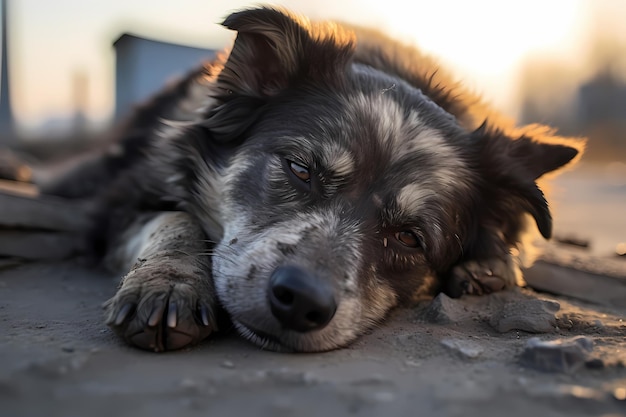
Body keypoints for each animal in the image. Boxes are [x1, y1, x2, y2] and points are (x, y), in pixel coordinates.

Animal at [37, 6, 580, 352]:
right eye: (300, 169)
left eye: (409, 237)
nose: (300, 302)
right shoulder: (122, 201)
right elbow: (174, 220)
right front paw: (169, 282)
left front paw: (491, 264)